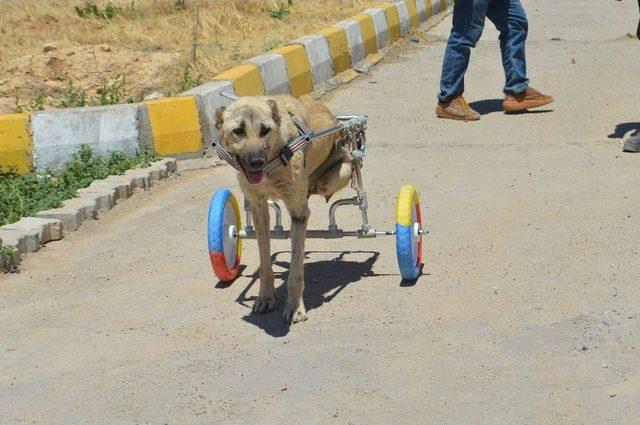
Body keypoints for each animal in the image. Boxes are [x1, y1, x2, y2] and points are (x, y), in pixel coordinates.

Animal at [218, 96, 352, 322]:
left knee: (325, 183)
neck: (271, 164)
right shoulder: (258, 208)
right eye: (238, 130)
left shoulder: (299, 214)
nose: (256, 162)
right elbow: (265, 264)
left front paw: (295, 307)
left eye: (265, 130)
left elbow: (295, 273)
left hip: (340, 172)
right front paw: (265, 297)